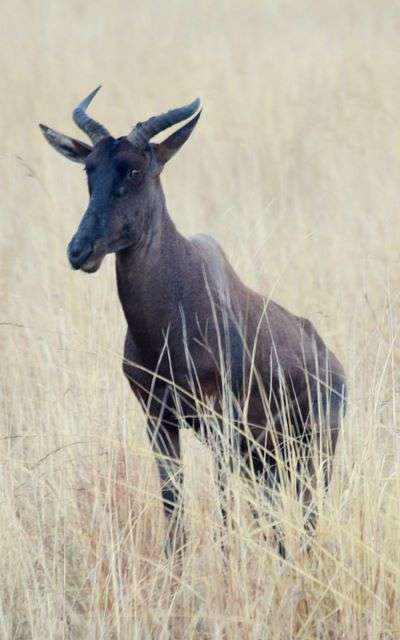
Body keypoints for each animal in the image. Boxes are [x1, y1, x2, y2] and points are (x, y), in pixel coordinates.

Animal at [40, 88, 346, 546]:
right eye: (89, 170)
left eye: (135, 169)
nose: (80, 251)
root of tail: (332, 362)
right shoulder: (159, 421)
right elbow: (173, 506)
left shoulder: (221, 425)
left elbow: (223, 510)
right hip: (265, 459)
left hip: (310, 453)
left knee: (308, 514)